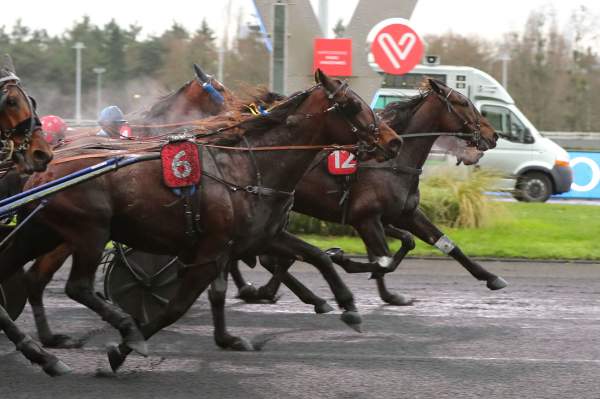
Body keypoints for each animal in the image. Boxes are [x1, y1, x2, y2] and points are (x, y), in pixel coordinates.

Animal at [1, 69, 404, 372]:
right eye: (352, 105)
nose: (394, 140)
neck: (247, 166)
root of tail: (46, 165)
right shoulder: (209, 251)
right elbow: (176, 307)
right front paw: (124, 348)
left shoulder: (257, 237)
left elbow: (317, 257)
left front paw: (348, 307)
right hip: (89, 231)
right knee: (77, 287)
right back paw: (115, 330)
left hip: (42, 230)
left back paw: (43, 350)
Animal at [227, 78, 504, 310]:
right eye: (463, 103)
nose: (493, 135)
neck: (394, 161)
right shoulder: (366, 218)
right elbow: (383, 259)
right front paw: (340, 257)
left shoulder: (405, 214)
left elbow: (440, 243)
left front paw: (491, 277)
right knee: (262, 255)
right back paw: (263, 290)